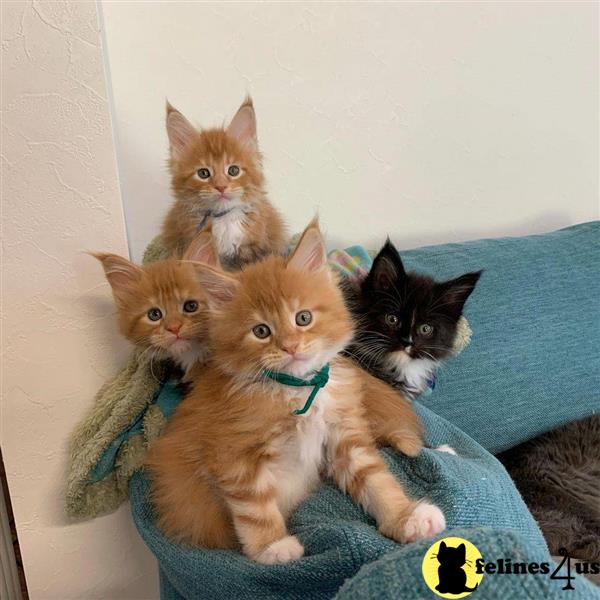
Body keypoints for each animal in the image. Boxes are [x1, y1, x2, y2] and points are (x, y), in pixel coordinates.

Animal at [147, 219, 442, 564]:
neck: (299, 388)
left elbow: (377, 479)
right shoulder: (233, 453)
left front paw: (406, 517)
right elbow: (254, 506)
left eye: (303, 318)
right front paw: (272, 547)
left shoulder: (344, 437)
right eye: (261, 331)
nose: (290, 347)